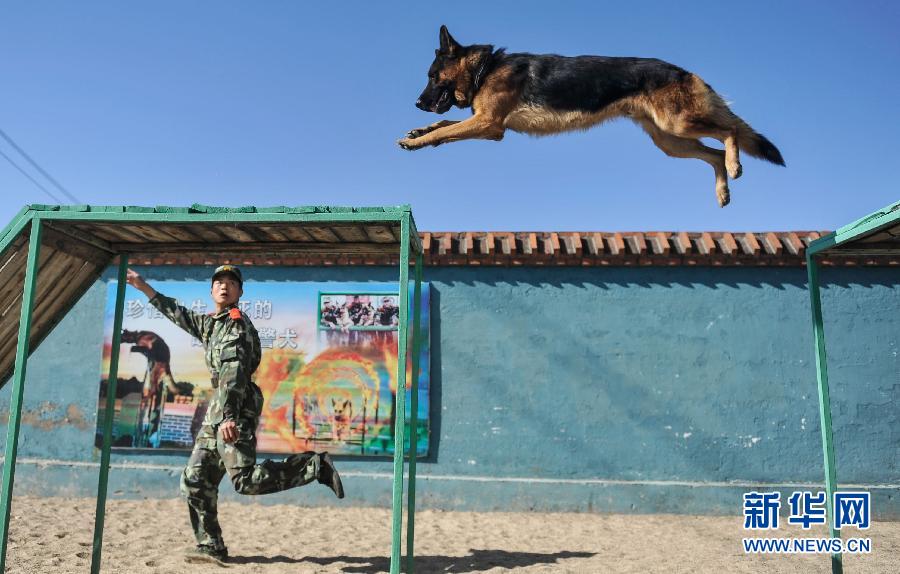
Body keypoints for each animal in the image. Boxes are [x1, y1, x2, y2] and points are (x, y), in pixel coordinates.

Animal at [398, 27, 784, 208]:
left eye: (432, 76)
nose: (417, 103)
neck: (485, 69)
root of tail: (684, 71)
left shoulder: (489, 125)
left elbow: (443, 131)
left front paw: (416, 141)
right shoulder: (484, 123)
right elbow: (443, 126)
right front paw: (417, 131)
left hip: (678, 125)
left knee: (730, 130)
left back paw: (734, 166)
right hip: (670, 140)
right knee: (714, 152)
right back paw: (723, 190)